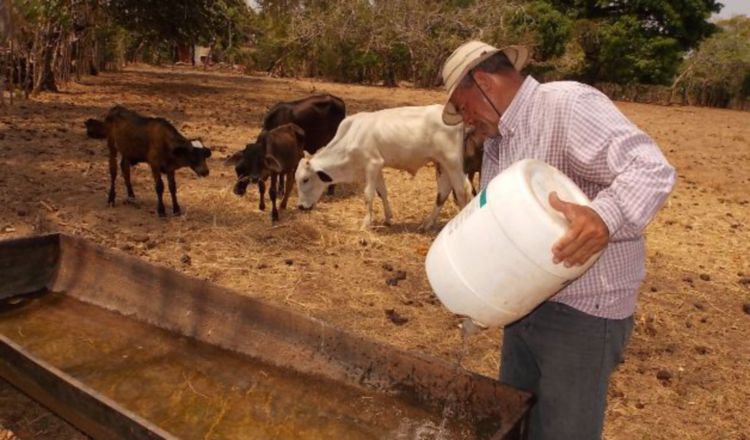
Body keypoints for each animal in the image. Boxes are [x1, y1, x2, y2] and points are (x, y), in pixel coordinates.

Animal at [294, 104, 470, 230]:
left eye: (305, 179)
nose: (301, 207)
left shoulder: (372, 163)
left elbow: (368, 195)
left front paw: (366, 223)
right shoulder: (377, 167)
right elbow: (382, 192)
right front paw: (388, 218)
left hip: (453, 162)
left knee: (461, 191)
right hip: (442, 164)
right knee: (443, 193)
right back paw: (426, 224)